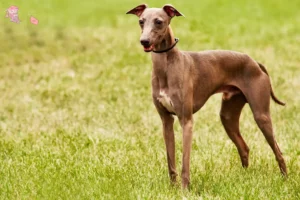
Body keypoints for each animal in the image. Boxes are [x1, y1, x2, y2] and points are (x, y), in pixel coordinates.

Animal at [125, 4, 288, 189]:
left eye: (159, 22)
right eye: (141, 21)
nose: (144, 41)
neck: (166, 67)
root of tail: (255, 62)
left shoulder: (186, 121)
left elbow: (185, 162)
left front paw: (184, 189)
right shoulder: (166, 121)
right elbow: (170, 160)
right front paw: (172, 188)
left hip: (261, 115)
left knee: (278, 151)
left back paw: (284, 179)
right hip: (228, 116)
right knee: (244, 147)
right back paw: (244, 177)